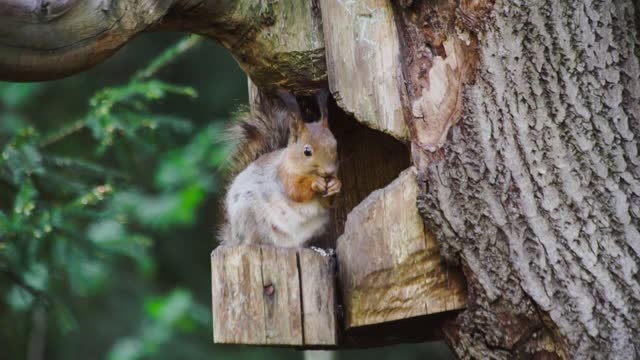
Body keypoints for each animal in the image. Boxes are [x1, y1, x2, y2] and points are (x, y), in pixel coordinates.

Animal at [220, 90, 340, 248]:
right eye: (307, 151)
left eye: (335, 144)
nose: (330, 171)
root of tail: (233, 236)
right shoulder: (282, 176)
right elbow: (296, 191)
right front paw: (315, 183)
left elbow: (327, 202)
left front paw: (336, 184)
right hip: (248, 216)